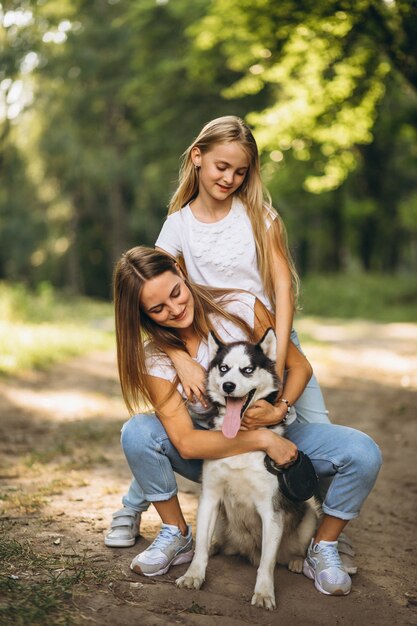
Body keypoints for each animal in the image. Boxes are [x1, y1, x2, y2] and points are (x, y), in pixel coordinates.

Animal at [176, 330, 316, 608]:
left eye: (248, 369)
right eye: (223, 368)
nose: (228, 386)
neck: (241, 438)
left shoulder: (271, 510)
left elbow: (266, 564)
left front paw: (263, 593)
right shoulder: (210, 497)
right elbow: (200, 551)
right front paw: (194, 575)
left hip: (310, 517)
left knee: (293, 550)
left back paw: (297, 561)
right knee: (212, 542)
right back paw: (215, 546)